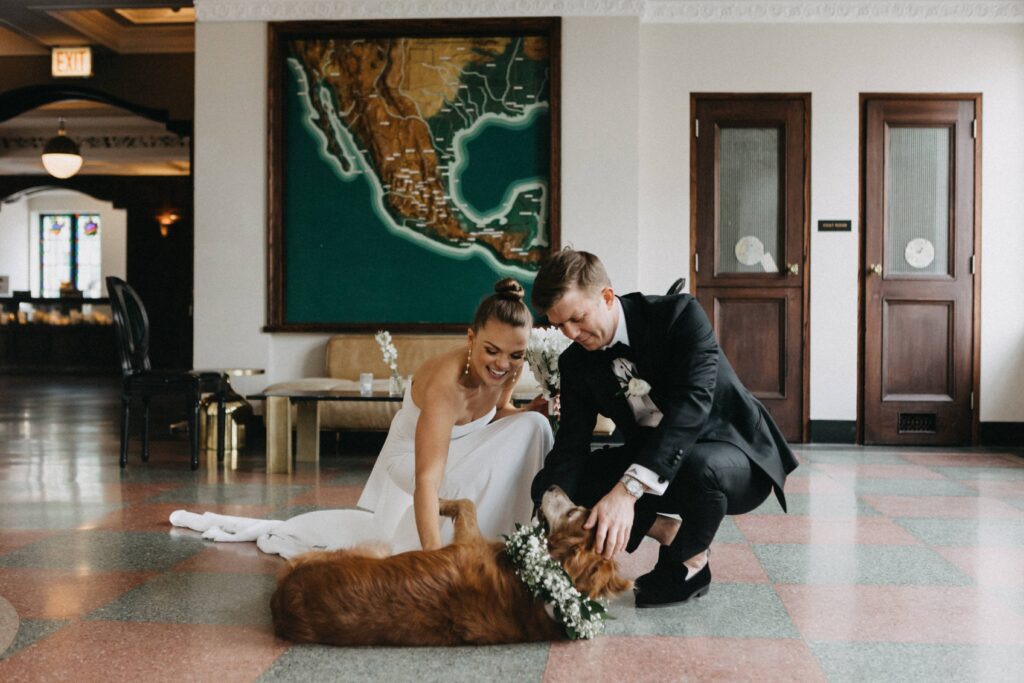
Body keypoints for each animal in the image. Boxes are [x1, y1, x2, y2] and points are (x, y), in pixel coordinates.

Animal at [270, 485, 630, 647]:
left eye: (573, 512)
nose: (554, 485)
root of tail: (281, 603)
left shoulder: (466, 538)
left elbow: (466, 503)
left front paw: (435, 501)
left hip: (373, 547)